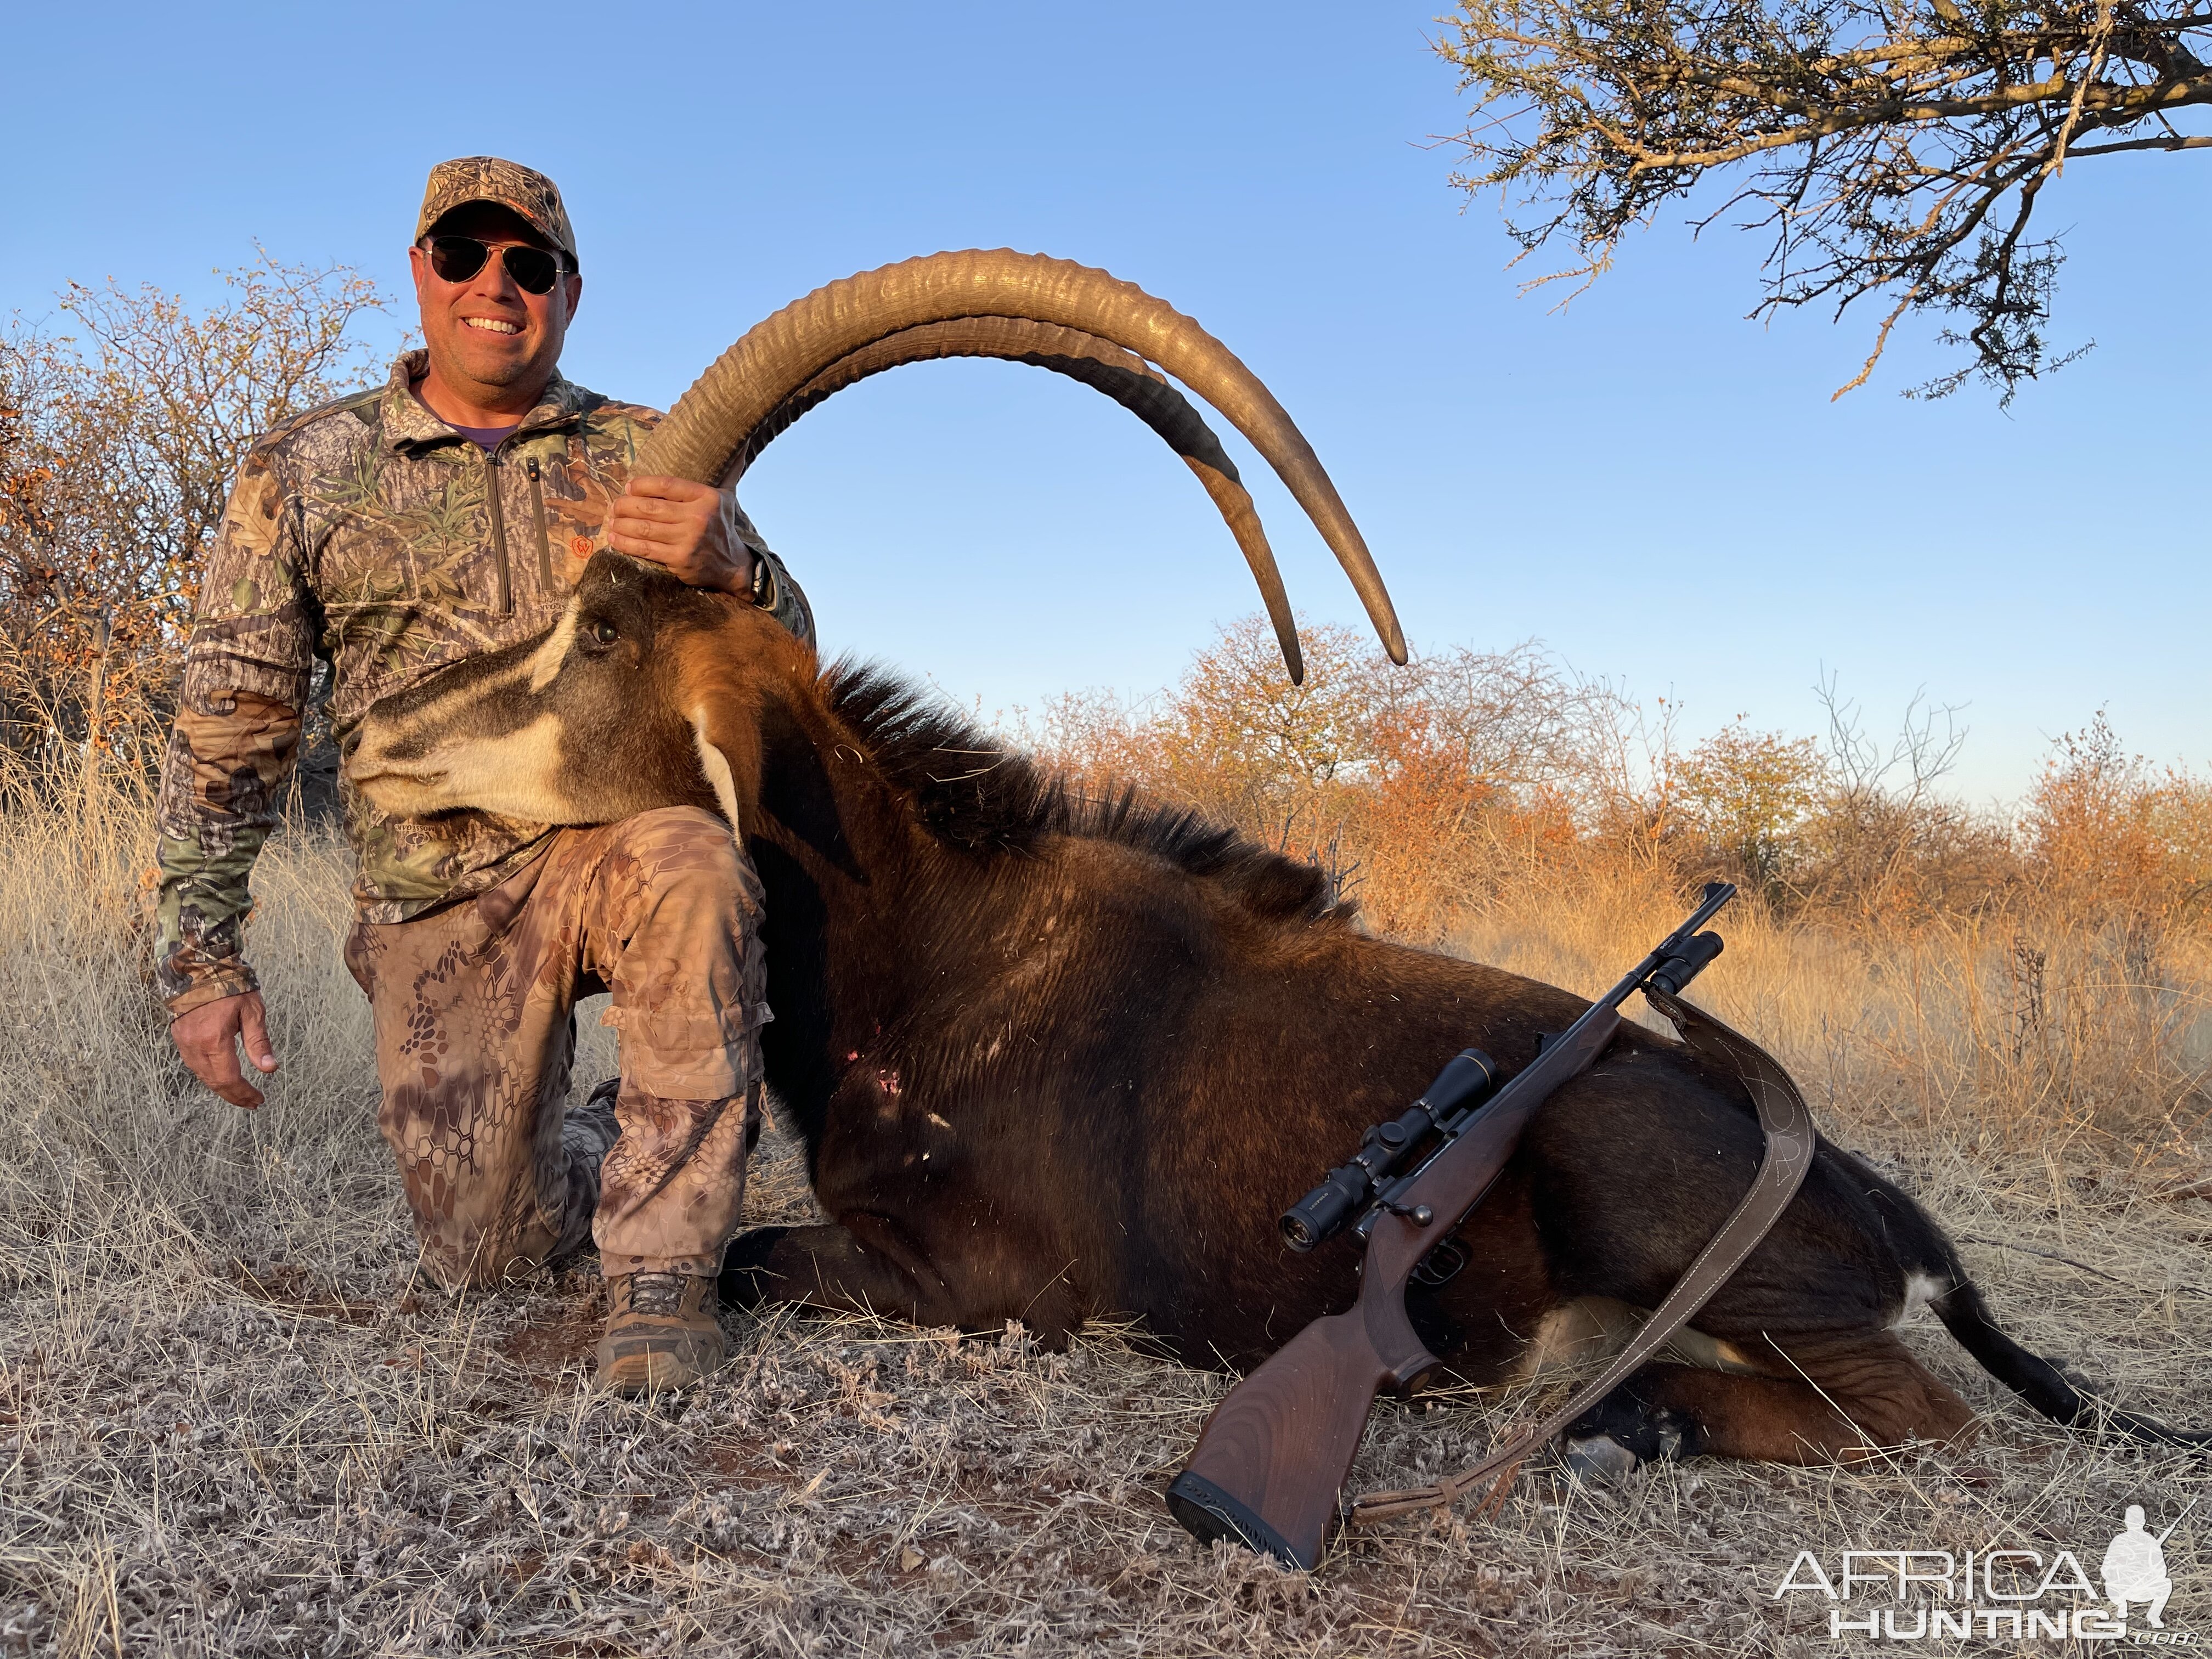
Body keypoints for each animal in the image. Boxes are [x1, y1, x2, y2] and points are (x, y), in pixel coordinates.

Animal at [345, 253, 2194, 1477]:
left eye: (598, 632)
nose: (372, 735)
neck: (938, 934)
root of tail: (1895, 1216)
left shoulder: (1000, 1284)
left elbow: (740, 1256)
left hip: (1632, 1180)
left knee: (1915, 1422)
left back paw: (1619, 1413)